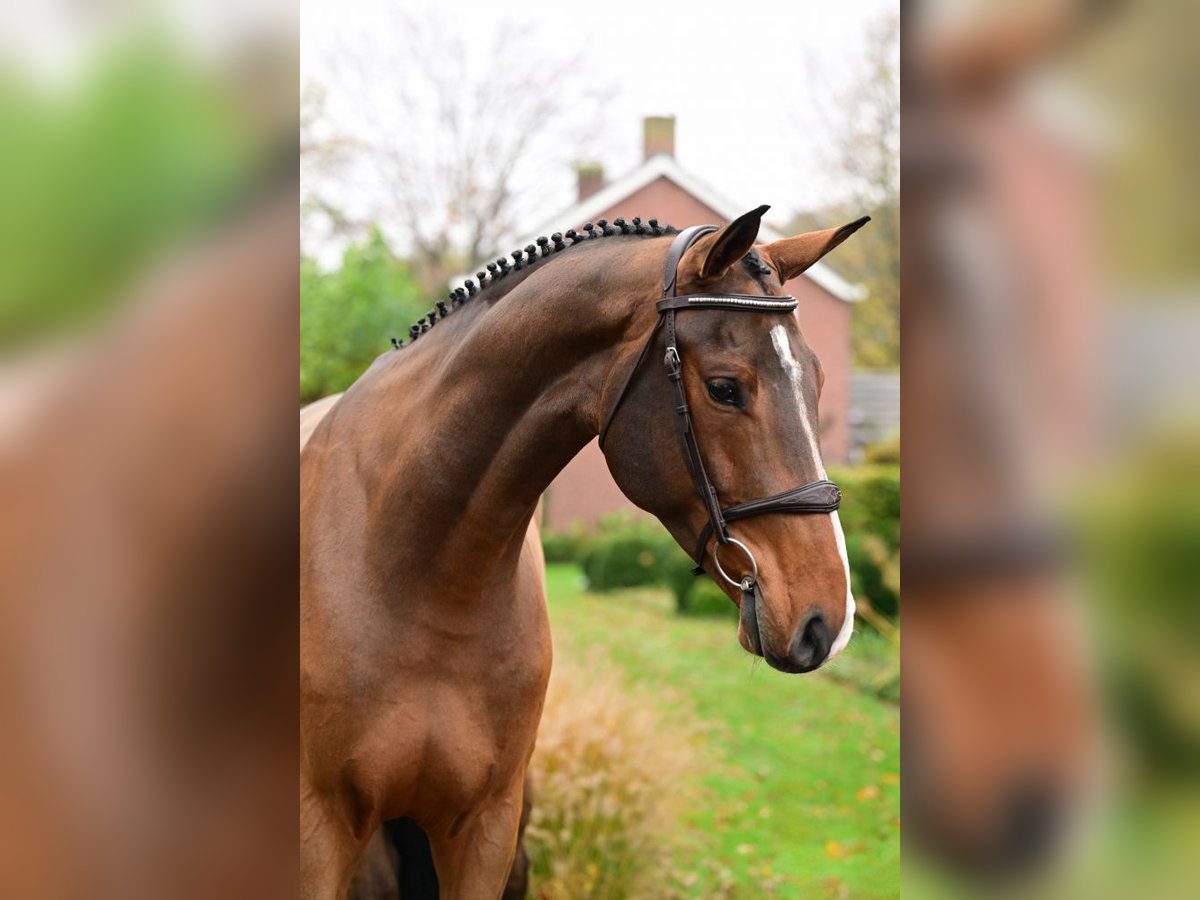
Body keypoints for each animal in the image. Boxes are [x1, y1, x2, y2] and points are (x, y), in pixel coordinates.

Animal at [297, 207, 864, 897]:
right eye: (725, 388)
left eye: (819, 381)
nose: (827, 621)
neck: (418, 575)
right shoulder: (319, 830)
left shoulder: (484, 830)